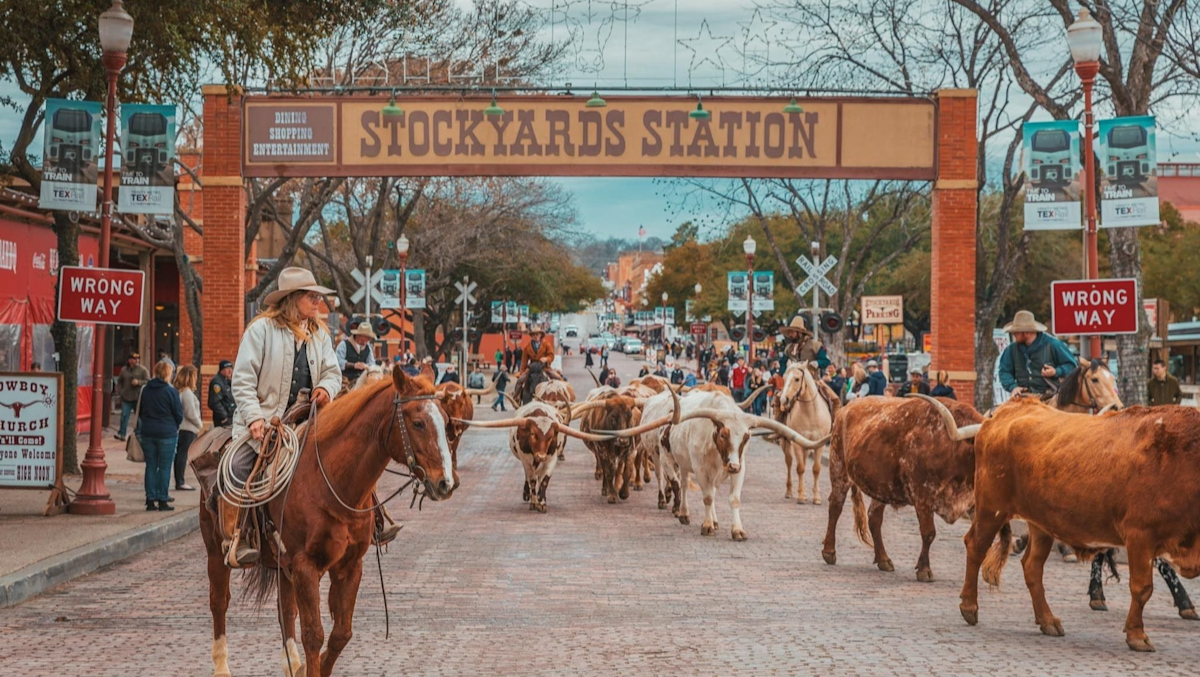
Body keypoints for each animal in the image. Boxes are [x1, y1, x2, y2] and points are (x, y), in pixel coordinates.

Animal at [201, 367, 453, 672]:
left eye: (446, 421)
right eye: (417, 423)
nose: (446, 483)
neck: (330, 483)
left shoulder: (349, 565)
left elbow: (340, 634)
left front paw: (309, 667)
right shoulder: (306, 566)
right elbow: (314, 635)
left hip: (282, 564)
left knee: (286, 610)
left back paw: (292, 665)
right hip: (216, 551)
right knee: (219, 603)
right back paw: (222, 666)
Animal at [777, 364, 835, 501]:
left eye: (797, 379)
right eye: (784, 378)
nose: (783, 400)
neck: (810, 412)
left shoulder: (819, 443)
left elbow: (816, 469)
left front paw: (816, 497)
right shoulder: (796, 443)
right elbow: (800, 468)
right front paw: (801, 496)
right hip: (785, 442)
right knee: (789, 462)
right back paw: (790, 491)